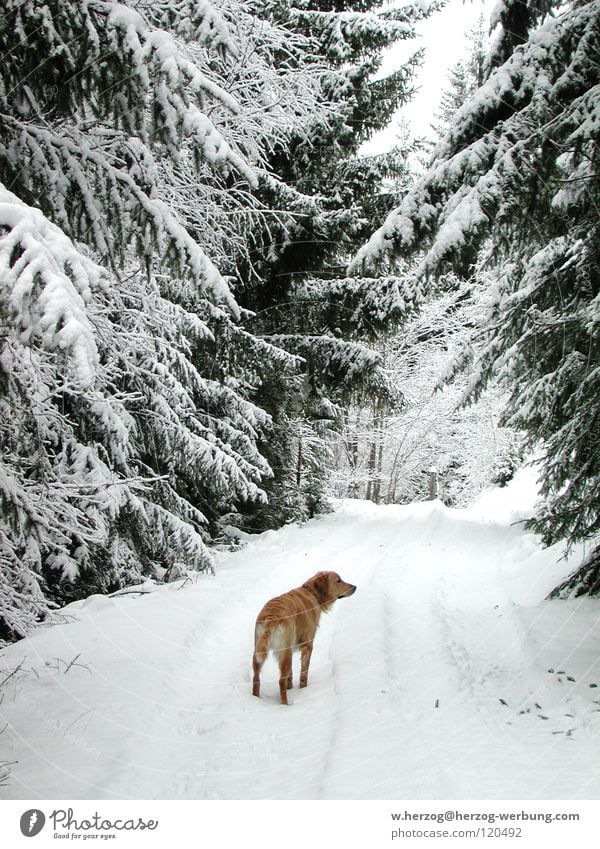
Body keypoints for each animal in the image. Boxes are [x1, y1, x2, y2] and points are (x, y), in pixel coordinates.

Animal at [250, 572, 354, 704]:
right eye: (338, 580)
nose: (355, 587)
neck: (312, 593)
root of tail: (271, 618)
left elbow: (291, 674)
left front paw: (290, 686)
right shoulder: (308, 644)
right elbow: (304, 672)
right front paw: (303, 688)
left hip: (260, 652)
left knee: (256, 678)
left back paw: (256, 698)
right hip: (285, 652)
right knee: (280, 681)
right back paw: (285, 704)